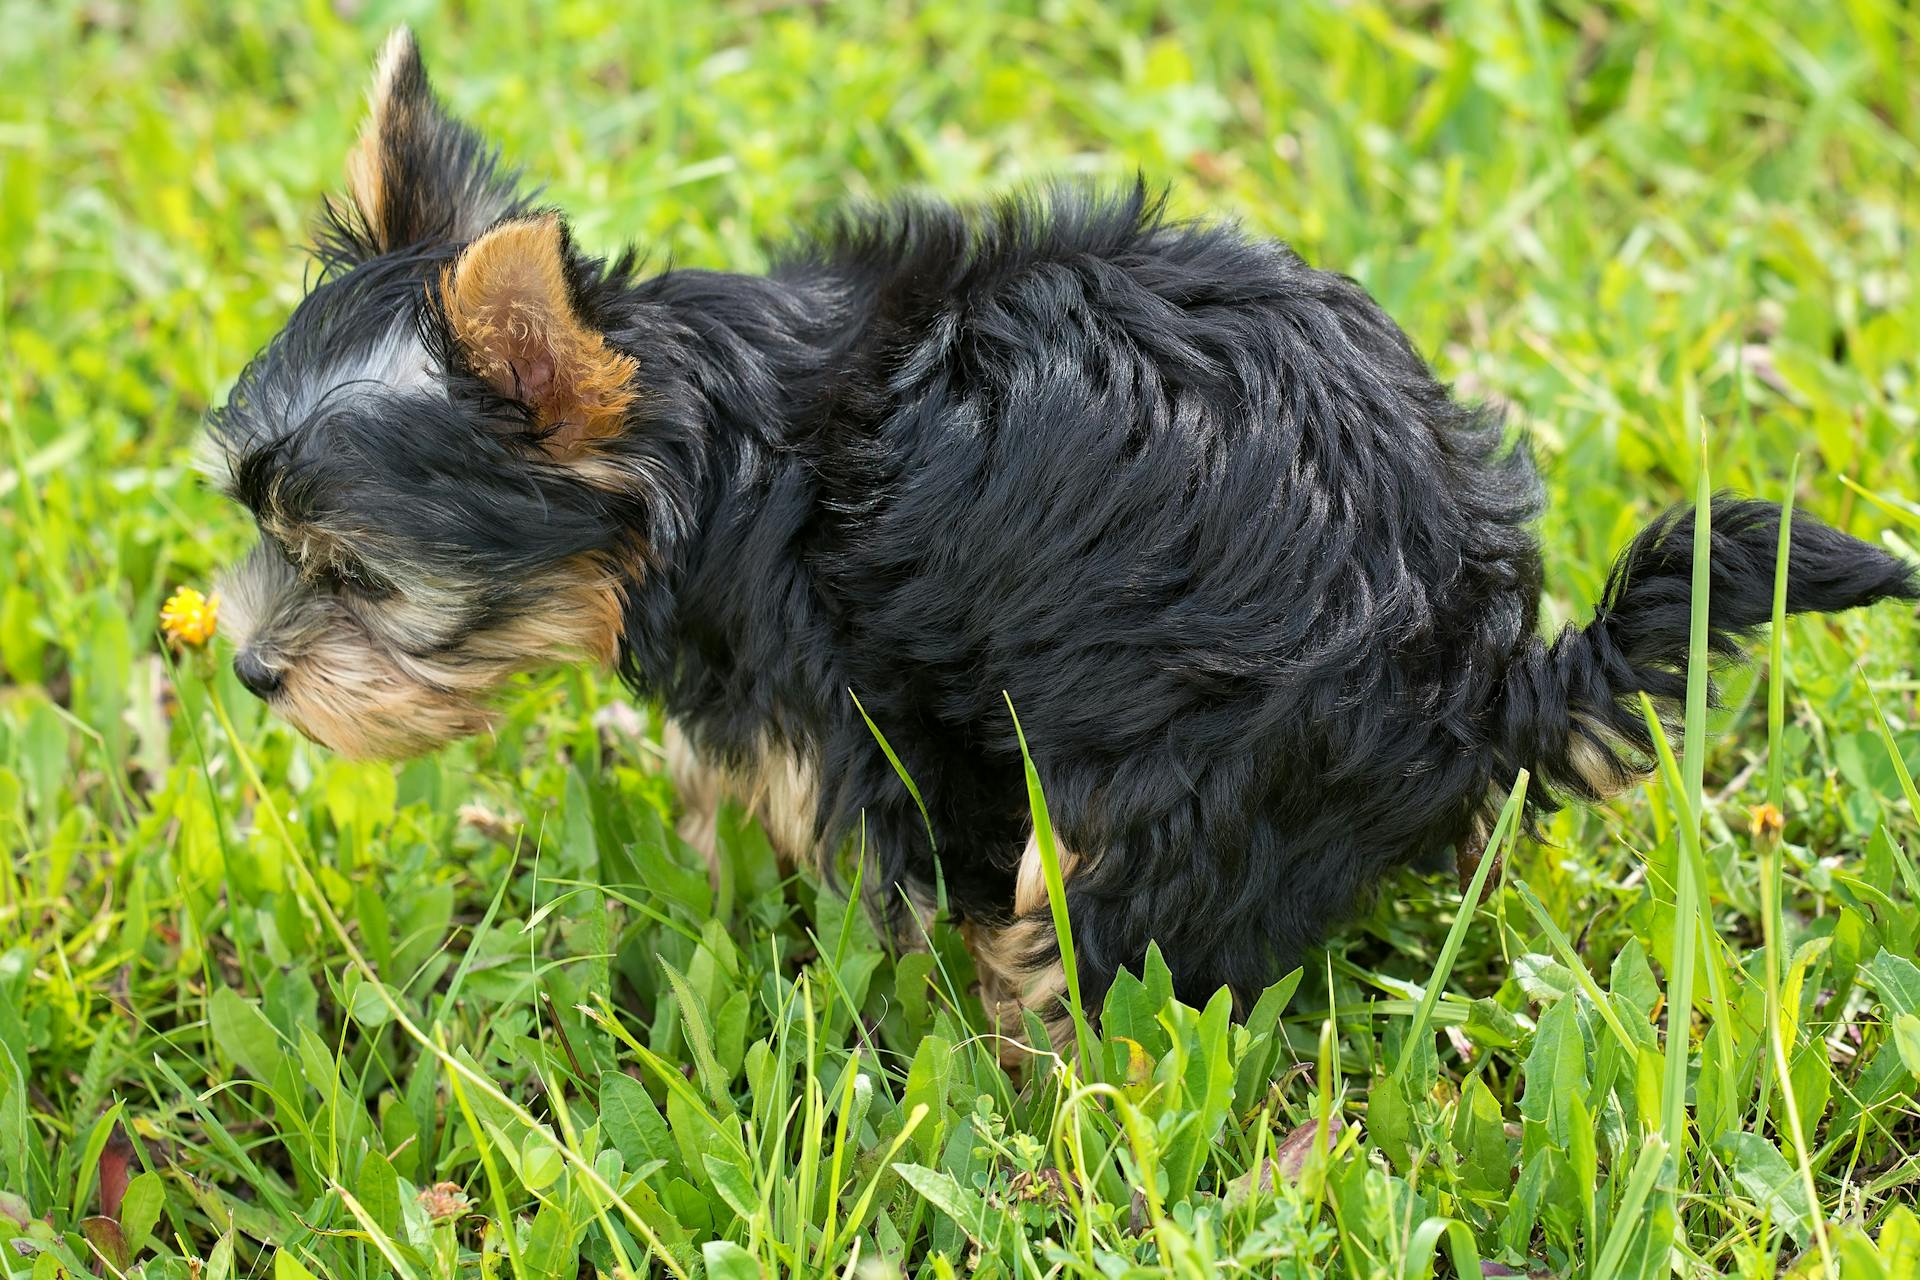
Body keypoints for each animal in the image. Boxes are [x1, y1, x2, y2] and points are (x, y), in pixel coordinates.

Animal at [202, 29, 1912, 1059]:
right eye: (263, 532)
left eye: (359, 575)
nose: (252, 671)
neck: (712, 444)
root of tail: (1487, 674)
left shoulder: (864, 704)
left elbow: (880, 863)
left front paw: (866, 1008)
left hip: (1188, 775)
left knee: (1107, 929)